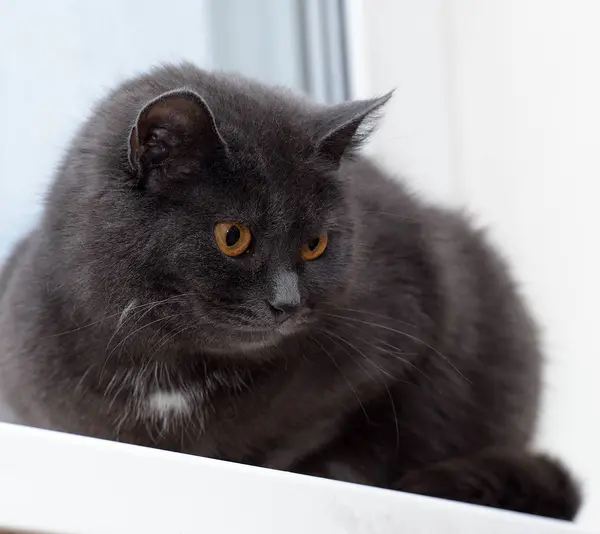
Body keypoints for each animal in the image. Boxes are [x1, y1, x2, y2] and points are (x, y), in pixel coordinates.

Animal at [0, 62, 580, 520]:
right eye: (232, 236)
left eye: (315, 244)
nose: (287, 301)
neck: (170, 373)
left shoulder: (403, 323)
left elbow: (323, 433)